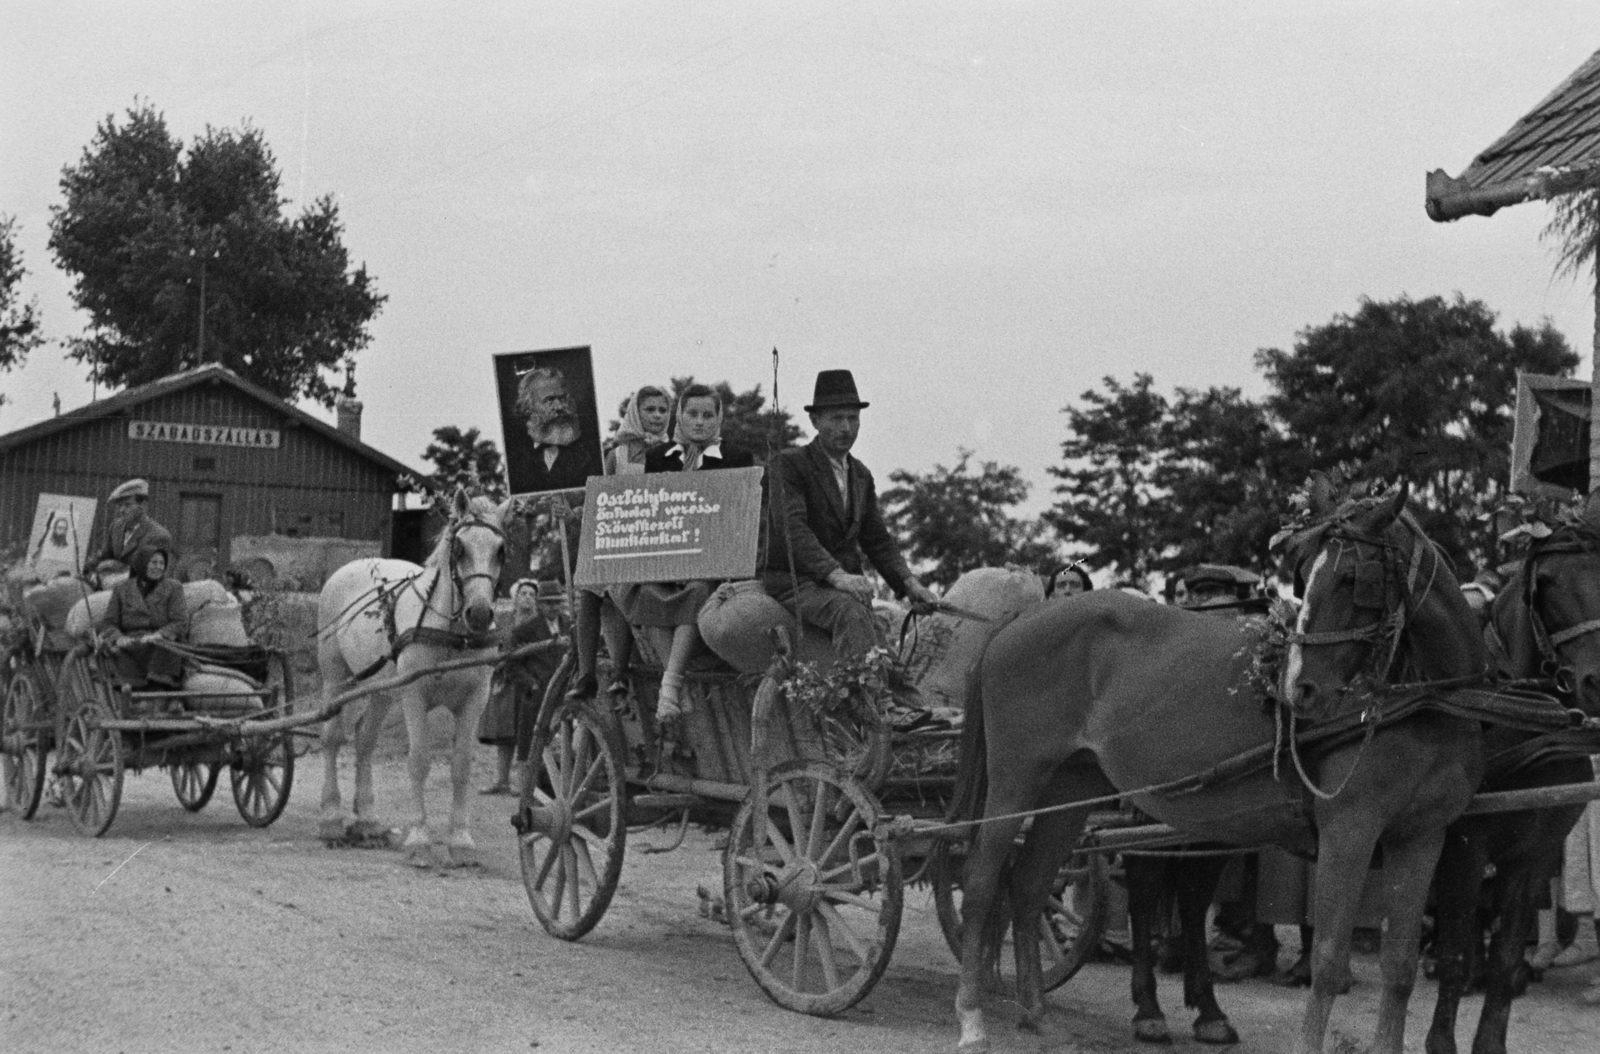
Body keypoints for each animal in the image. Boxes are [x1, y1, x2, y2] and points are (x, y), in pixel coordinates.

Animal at [315, 489, 508, 863]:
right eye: (460, 548)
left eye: (500, 550)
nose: (479, 613)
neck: (453, 634)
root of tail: (349, 567)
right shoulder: (415, 695)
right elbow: (419, 761)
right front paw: (419, 837)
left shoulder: (475, 698)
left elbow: (461, 765)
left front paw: (461, 841)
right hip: (337, 678)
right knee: (332, 738)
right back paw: (330, 817)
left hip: (382, 689)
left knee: (365, 741)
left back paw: (368, 819)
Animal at [947, 483, 1484, 1054]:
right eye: (1307, 572)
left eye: (1350, 577)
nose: (1300, 689)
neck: (1424, 701)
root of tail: (1024, 617)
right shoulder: (1350, 829)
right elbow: (1328, 961)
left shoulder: (1422, 837)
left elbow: (1399, 966)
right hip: (1016, 780)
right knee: (980, 883)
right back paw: (972, 1017)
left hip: (1069, 788)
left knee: (1028, 886)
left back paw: (1035, 1013)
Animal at [1427, 515, 1600, 1054]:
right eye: (1547, 583)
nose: (1596, 681)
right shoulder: (1463, 852)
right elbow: (1456, 958)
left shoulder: (1533, 857)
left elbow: (1504, 960)